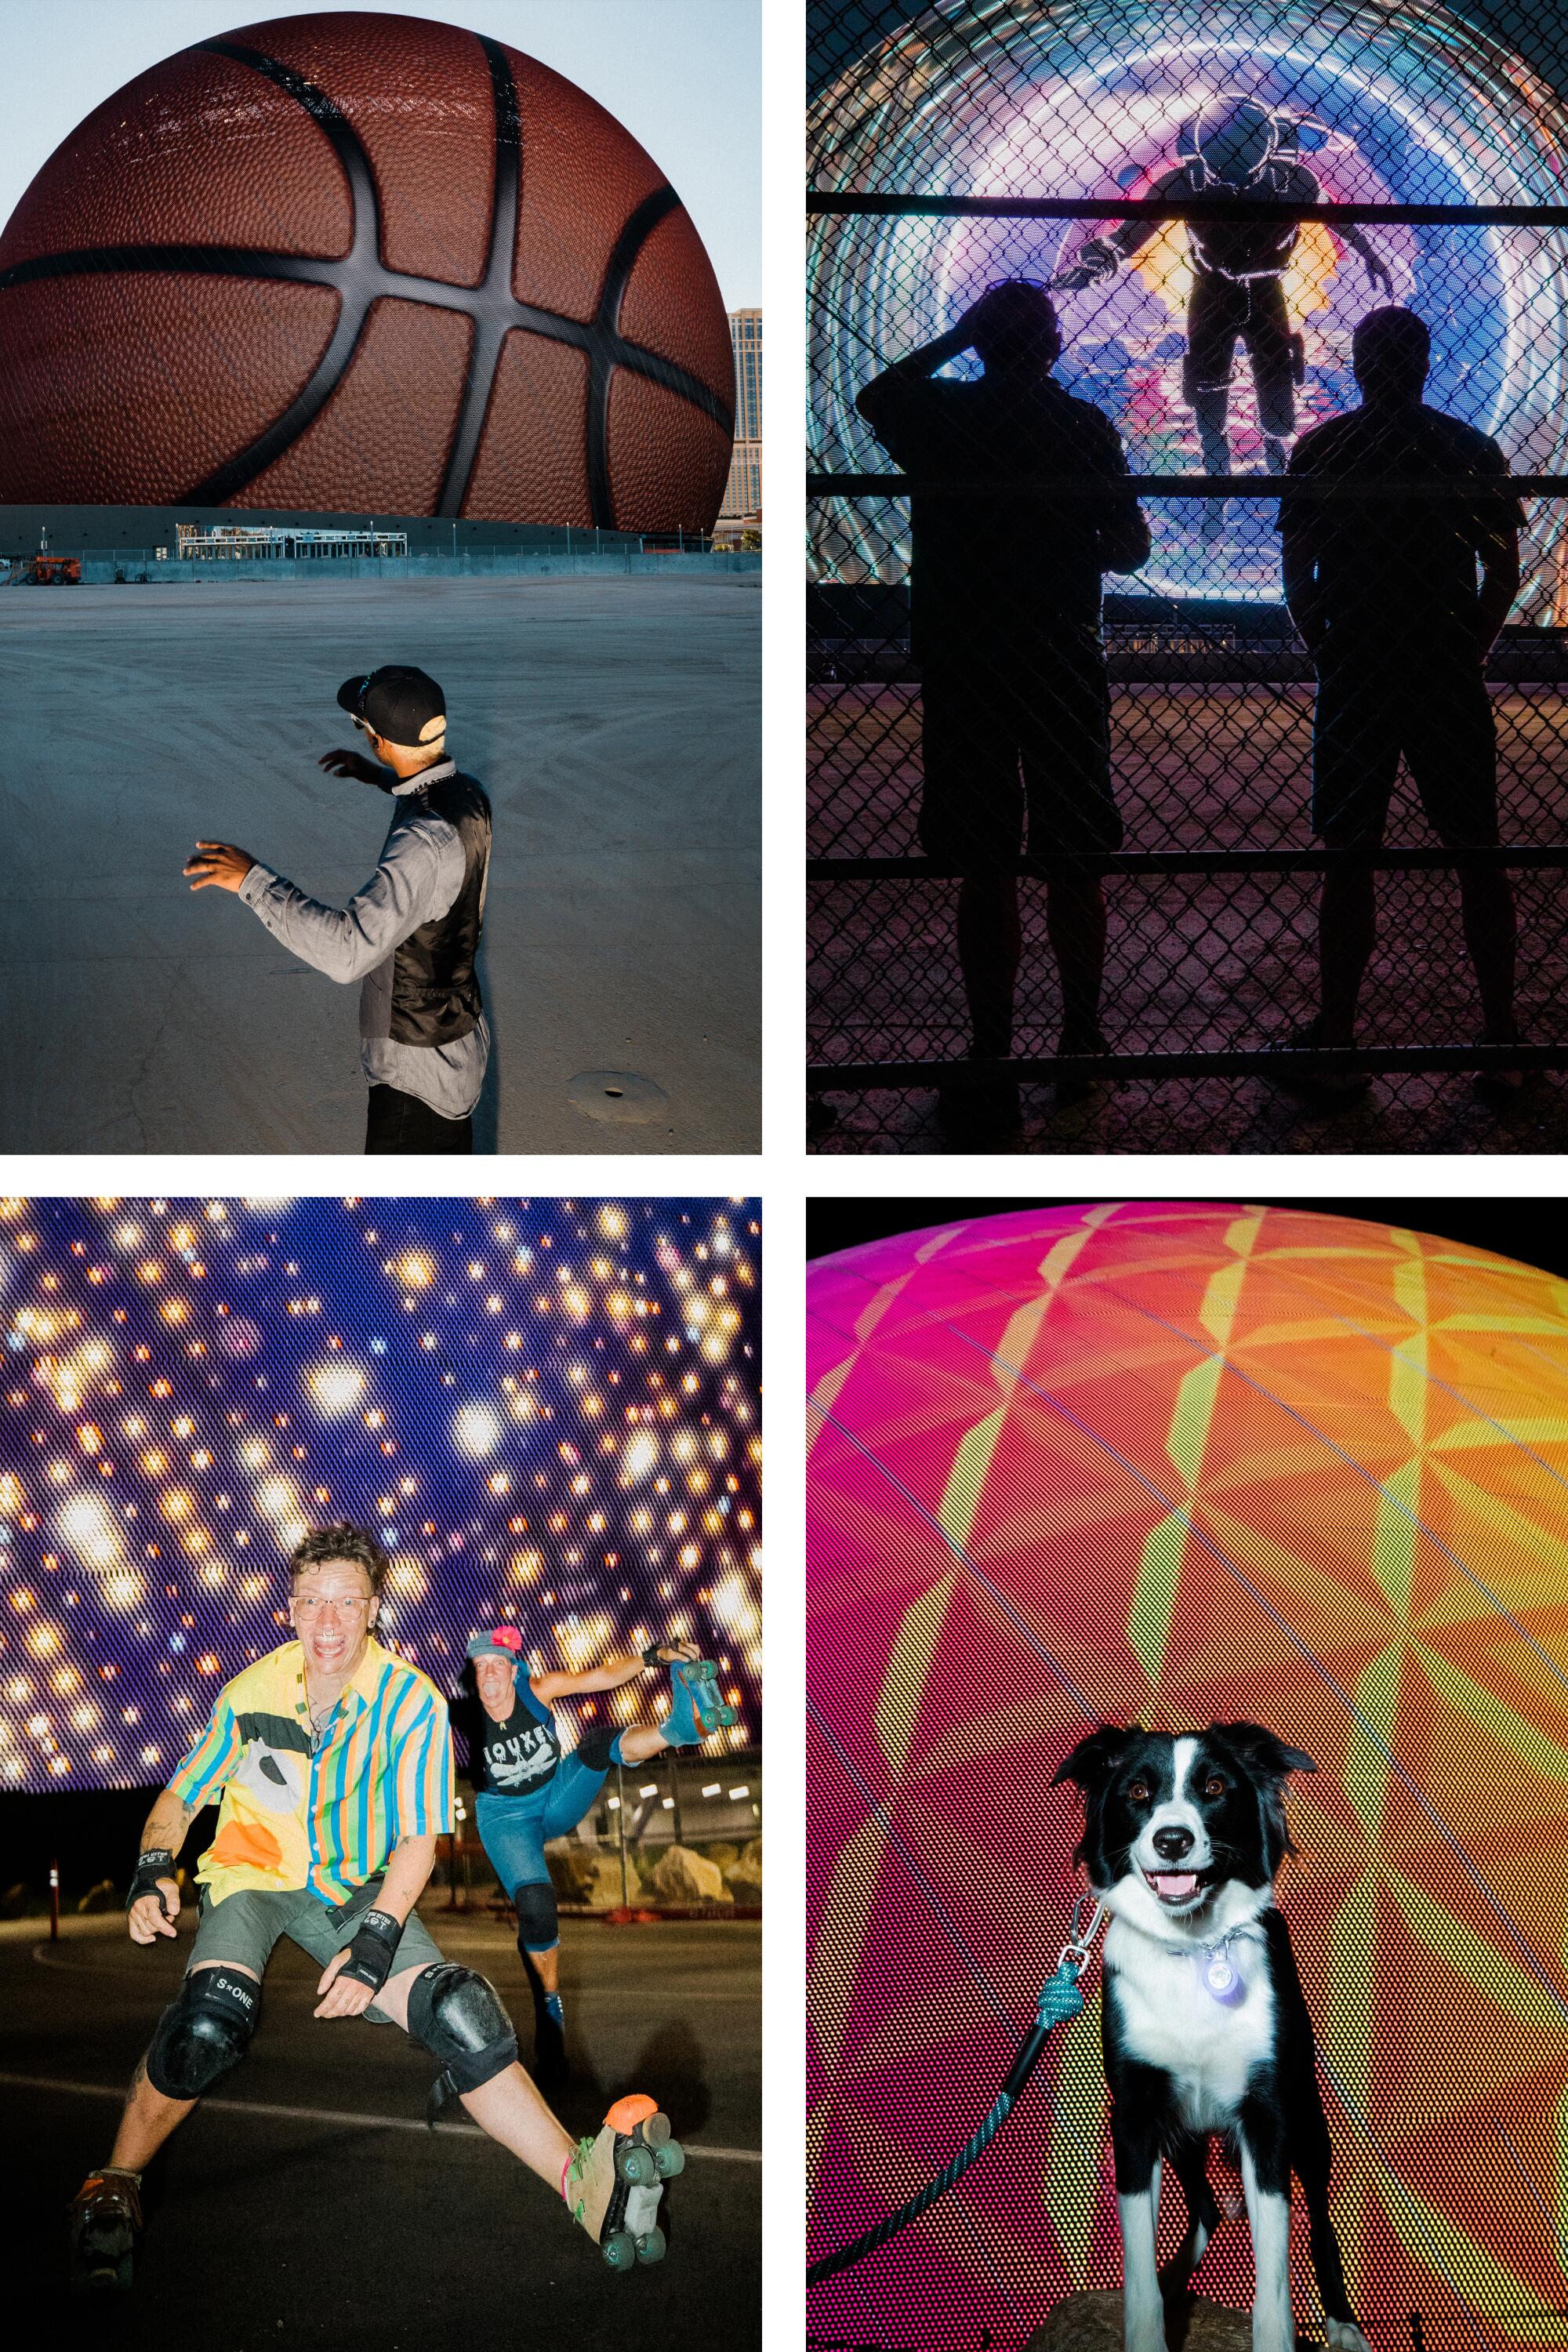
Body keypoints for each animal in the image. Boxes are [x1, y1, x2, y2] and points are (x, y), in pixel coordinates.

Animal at [1053, 1722, 1373, 2352]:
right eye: (1137, 1793)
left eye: (1216, 1787)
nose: (1173, 1840)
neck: (1195, 1948)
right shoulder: (1137, 2114)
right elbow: (1137, 2269)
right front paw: (1150, 2326)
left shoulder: (1268, 2114)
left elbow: (1273, 2273)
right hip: (1180, 2132)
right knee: (1202, 2205)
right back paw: (1175, 2277)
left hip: (1307, 2117)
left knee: (1320, 2222)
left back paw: (1343, 2323)